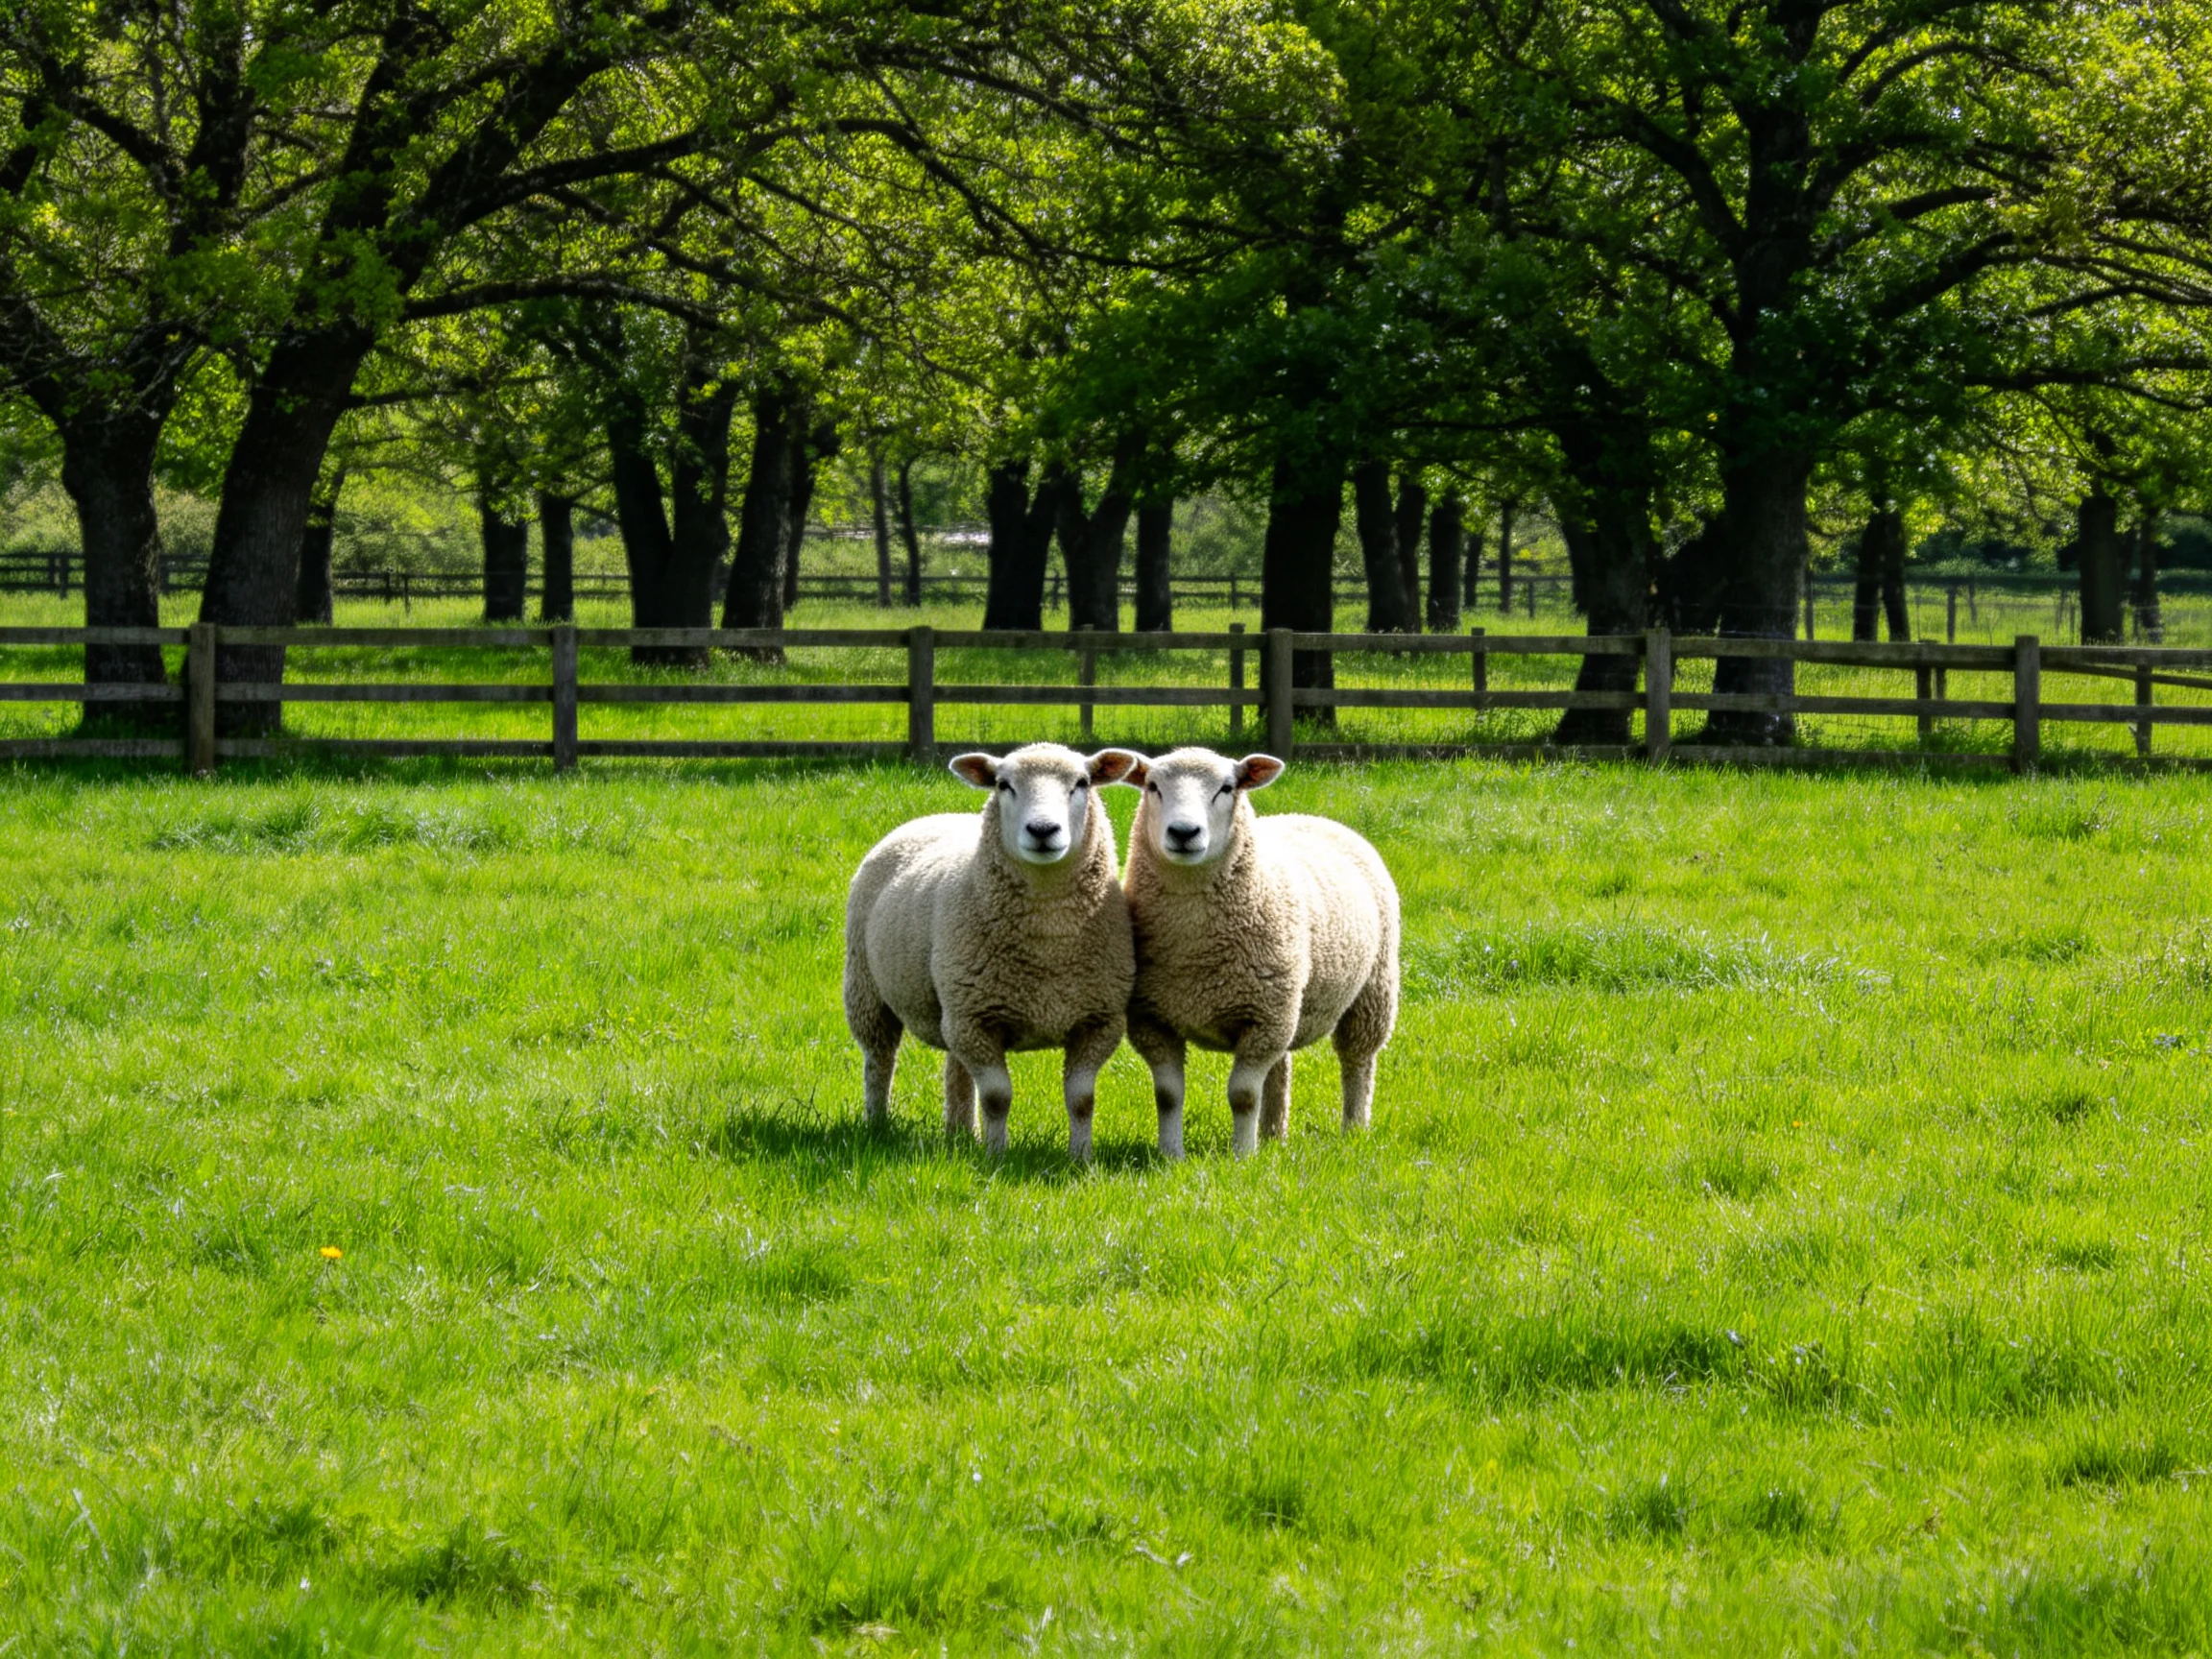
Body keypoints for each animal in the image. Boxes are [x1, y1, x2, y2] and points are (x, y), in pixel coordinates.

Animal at [843, 742, 1142, 1159]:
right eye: (1004, 785)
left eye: (1081, 783)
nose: (1043, 830)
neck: (1049, 939)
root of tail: (936, 816)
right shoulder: (977, 1020)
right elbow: (997, 1098)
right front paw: (997, 1156)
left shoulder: (1098, 1021)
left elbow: (1082, 1100)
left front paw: (1081, 1158)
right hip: (868, 990)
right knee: (878, 1061)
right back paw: (878, 1124)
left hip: (952, 1008)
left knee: (956, 1071)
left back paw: (960, 1133)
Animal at [1121, 747, 1399, 1158]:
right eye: (1152, 786)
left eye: (1227, 787)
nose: (1184, 833)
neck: (1194, 946)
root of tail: (1309, 816)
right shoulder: (1153, 1020)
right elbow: (1168, 1095)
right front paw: (1170, 1155)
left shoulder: (1263, 1017)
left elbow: (1243, 1096)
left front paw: (1242, 1156)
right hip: (1287, 1006)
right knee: (1280, 1069)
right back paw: (1272, 1134)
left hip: (1371, 992)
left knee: (1358, 1063)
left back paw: (1353, 1129)